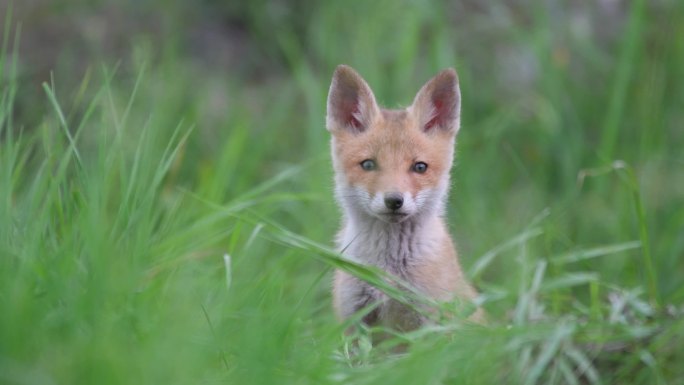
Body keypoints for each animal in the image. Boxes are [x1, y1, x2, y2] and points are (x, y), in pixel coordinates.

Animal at [326, 64, 480, 332]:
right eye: (368, 164)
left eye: (419, 167)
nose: (394, 201)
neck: (389, 270)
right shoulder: (353, 319)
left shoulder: (431, 321)